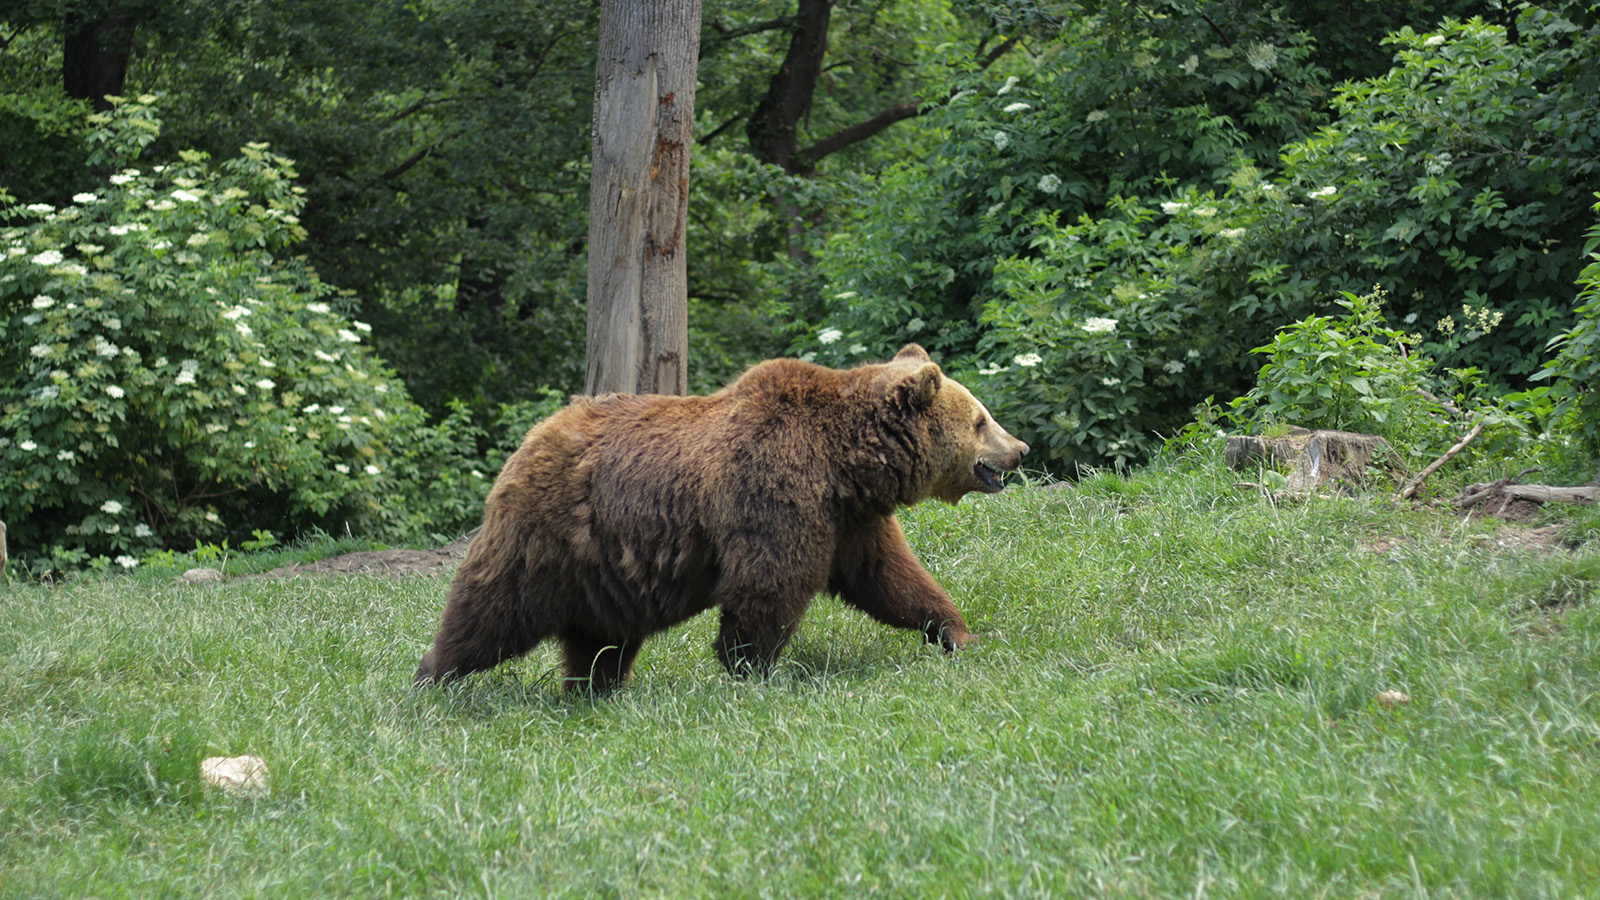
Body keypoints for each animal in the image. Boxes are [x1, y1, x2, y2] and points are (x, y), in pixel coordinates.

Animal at [416, 341, 1024, 685]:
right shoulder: (775, 491)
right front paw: (749, 667)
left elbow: (889, 577)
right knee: (491, 609)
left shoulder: (850, 519)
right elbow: (770, 582)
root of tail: (533, 436)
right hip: (546, 536)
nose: (1020, 449)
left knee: (599, 635)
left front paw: (956, 632)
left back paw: (596, 687)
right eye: (981, 419)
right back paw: (435, 678)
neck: (846, 463)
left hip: (603, 568)